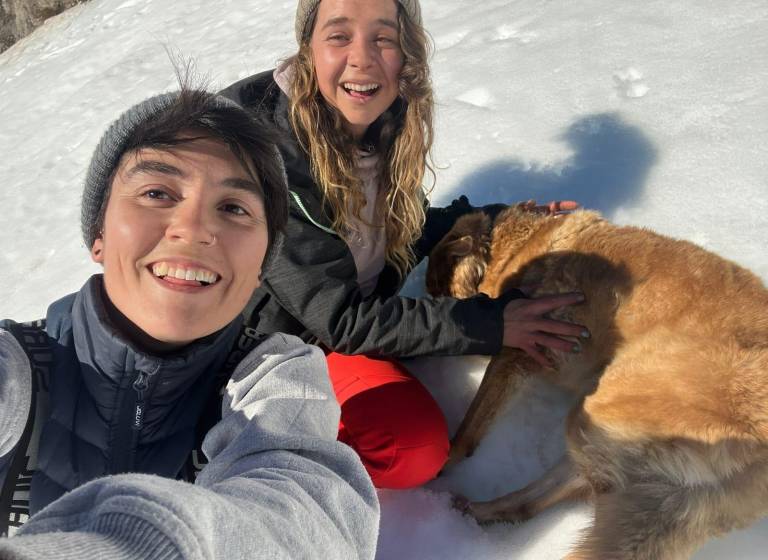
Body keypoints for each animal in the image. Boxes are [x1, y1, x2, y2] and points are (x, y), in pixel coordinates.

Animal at [426, 208, 768, 556]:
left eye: (438, 292)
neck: (519, 246)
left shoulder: (519, 353)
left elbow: (468, 429)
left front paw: (446, 459)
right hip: (655, 490)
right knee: (535, 503)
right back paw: (473, 511)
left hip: (597, 414)